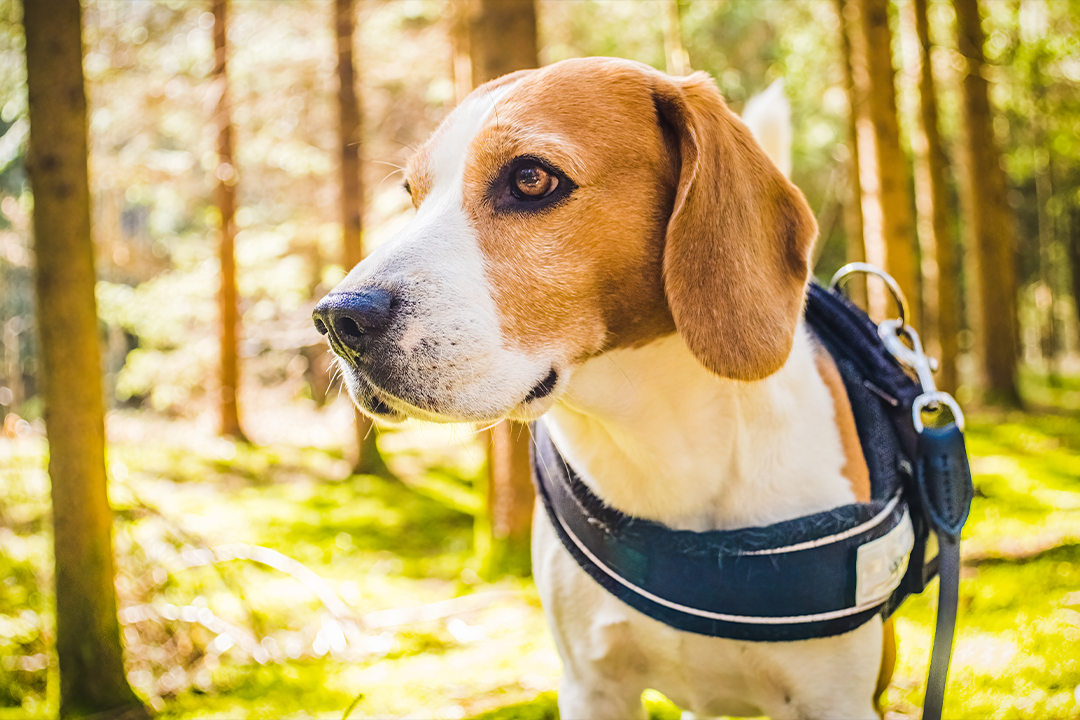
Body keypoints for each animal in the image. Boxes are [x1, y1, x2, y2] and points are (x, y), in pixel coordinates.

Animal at [313, 57, 894, 720]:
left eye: (532, 179)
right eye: (412, 194)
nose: (336, 320)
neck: (656, 444)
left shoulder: (837, 700)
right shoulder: (592, 685)